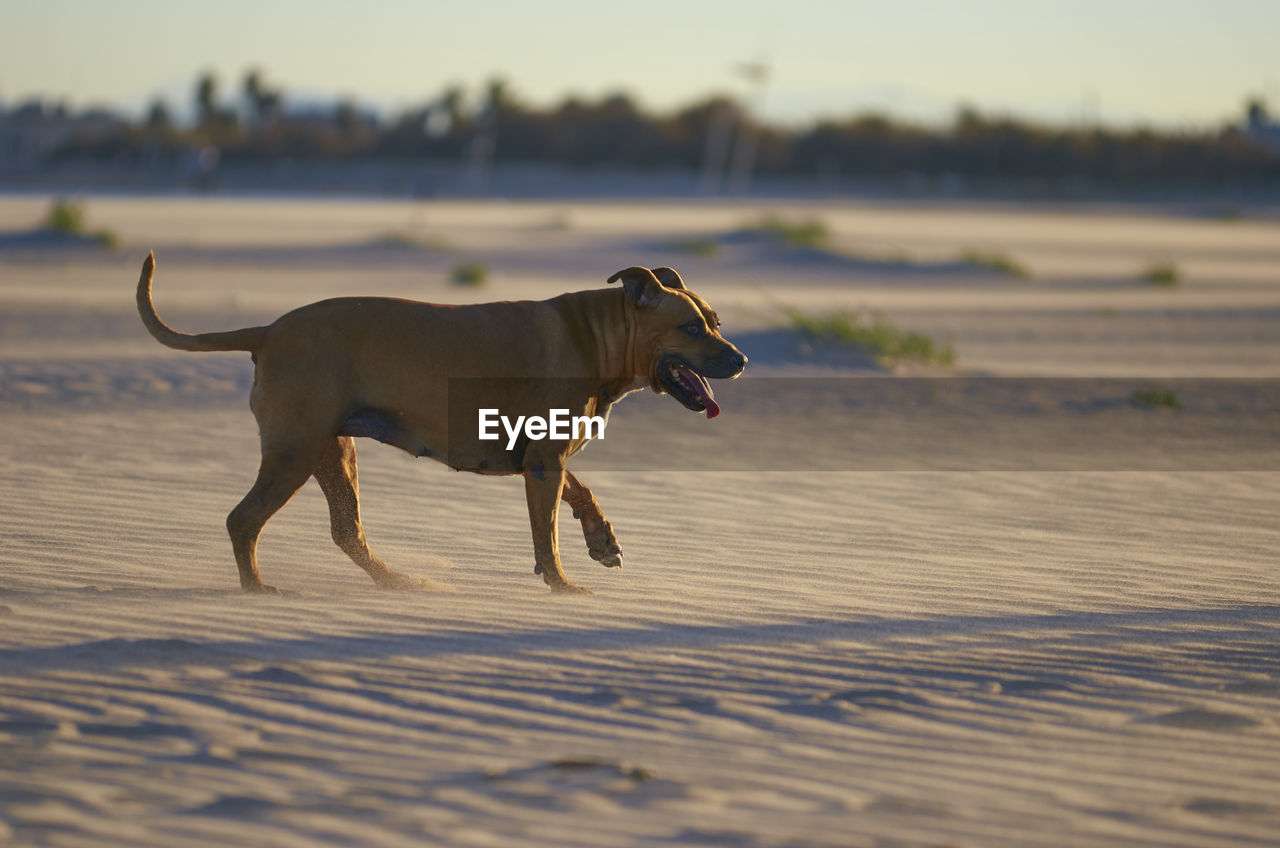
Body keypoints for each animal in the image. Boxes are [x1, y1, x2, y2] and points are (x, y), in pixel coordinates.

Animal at [135, 256, 747, 594]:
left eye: (716, 322)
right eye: (692, 328)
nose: (741, 361)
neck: (599, 335)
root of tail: (268, 330)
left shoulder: (542, 458)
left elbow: (581, 492)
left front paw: (602, 539)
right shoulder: (543, 465)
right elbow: (546, 534)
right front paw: (563, 585)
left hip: (333, 452)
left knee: (347, 533)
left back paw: (400, 583)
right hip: (295, 451)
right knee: (244, 521)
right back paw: (257, 591)